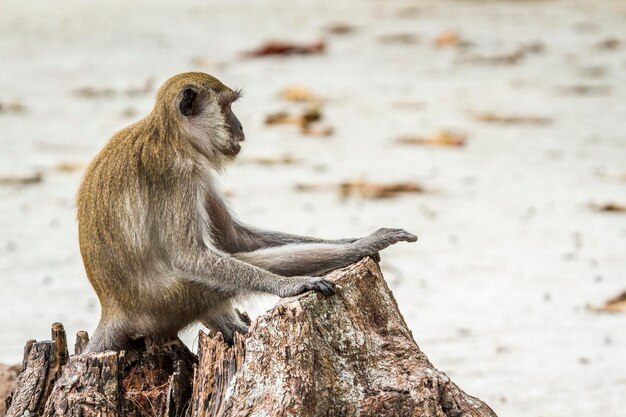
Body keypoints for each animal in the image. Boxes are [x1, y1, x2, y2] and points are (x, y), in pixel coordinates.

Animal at [78, 72, 416, 352]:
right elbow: (190, 256)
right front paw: (302, 279)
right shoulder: (177, 173)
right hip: (171, 301)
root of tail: (116, 309)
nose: (241, 127)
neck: (171, 135)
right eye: (227, 107)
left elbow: (233, 238)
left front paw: (353, 240)